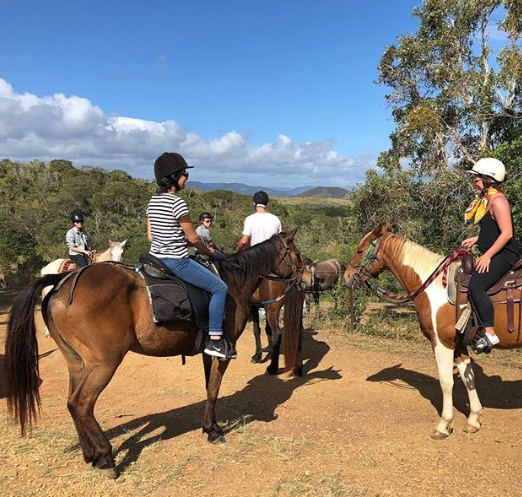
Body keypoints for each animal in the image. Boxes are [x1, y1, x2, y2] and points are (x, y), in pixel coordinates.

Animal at [4, 231, 308, 478]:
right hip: (104, 363)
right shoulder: (223, 349)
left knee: (72, 403)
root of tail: (62, 283)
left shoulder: (208, 351)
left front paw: (209, 426)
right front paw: (213, 431)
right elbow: (213, 390)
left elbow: (209, 387)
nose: (305, 277)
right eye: (297, 254)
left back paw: (90, 455)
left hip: (77, 363)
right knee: (82, 404)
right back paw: (105, 457)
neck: (232, 282)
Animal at [342, 224, 520, 438]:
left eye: (360, 250)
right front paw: (474, 420)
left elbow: (446, 381)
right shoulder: (458, 344)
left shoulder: (441, 342)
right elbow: (468, 378)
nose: (346, 277)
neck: (434, 287)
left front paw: (444, 424)